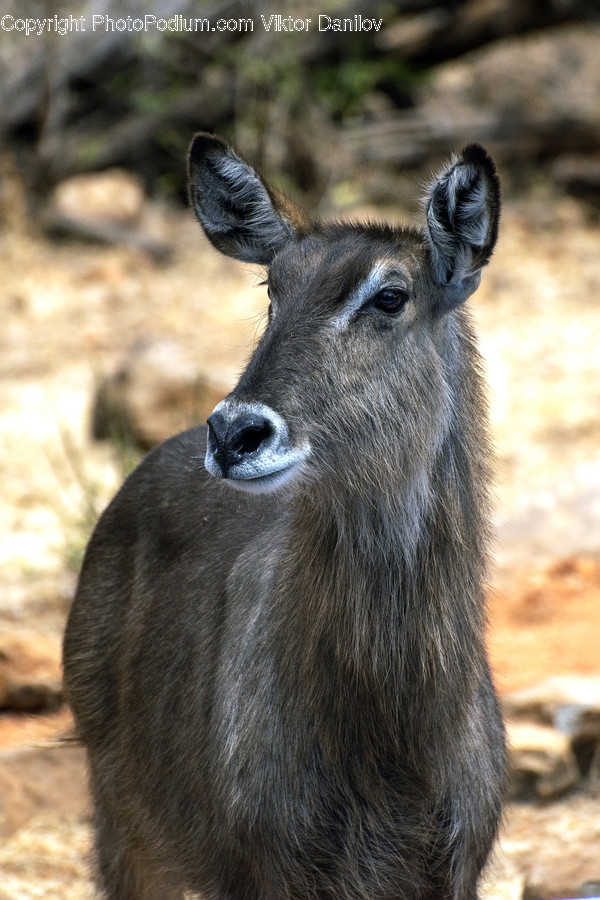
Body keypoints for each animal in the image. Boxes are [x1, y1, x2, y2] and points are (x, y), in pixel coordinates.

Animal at [63, 134, 506, 900]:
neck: (390, 734)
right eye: (273, 288)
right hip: (124, 825)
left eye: (391, 295)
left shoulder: (451, 874)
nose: (234, 432)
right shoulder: (263, 872)